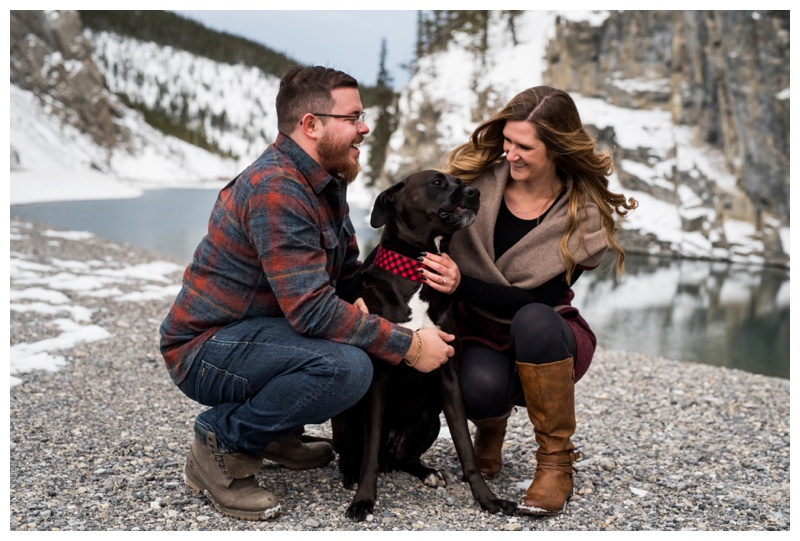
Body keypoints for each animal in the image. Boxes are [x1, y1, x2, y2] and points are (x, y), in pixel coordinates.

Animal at [332, 171, 516, 520]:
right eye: (436, 182)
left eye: (459, 180)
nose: (475, 192)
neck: (417, 274)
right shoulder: (379, 378)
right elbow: (369, 455)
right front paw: (363, 500)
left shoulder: (449, 377)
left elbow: (465, 448)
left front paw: (488, 499)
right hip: (347, 416)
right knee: (355, 454)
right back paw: (349, 474)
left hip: (428, 420)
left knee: (404, 459)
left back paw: (427, 472)